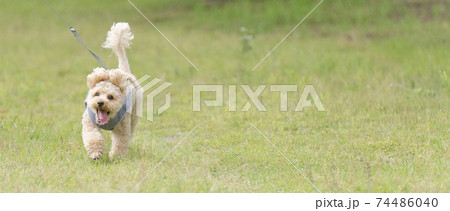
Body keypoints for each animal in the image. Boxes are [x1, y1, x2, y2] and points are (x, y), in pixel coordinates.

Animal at [82, 22, 141, 158]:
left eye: (110, 97)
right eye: (96, 94)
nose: (100, 102)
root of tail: (125, 71)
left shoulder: (122, 128)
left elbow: (120, 142)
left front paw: (116, 158)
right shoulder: (89, 123)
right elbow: (92, 137)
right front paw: (96, 153)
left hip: (134, 115)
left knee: (131, 131)